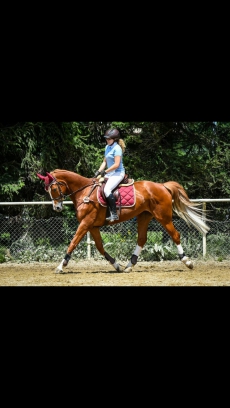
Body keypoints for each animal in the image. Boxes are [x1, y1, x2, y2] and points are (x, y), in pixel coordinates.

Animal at [36, 171, 210, 272]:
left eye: (53, 188)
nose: (57, 208)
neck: (85, 192)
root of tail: (162, 186)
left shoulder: (85, 224)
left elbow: (73, 243)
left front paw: (60, 266)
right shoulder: (93, 226)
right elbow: (100, 247)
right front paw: (116, 265)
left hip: (164, 217)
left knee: (175, 235)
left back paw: (187, 262)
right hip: (144, 216)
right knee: (142, 238)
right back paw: (129, 266)